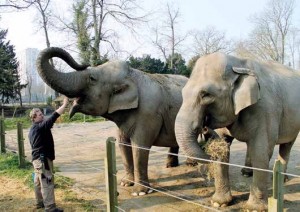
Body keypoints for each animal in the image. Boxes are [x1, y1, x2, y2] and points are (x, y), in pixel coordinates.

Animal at [36, 46, 189, 195]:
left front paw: (140, 192)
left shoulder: (149, 114)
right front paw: (125, 183)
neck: (133, 75)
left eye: (92, 78)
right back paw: (171, 165)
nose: (84, 64)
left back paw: (190, 164)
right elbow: (122, 144)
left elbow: (139, 147)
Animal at [173, 52, 298, 211]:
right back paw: (247, 173)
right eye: (183, 93)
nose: (205, 128)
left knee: (286, 145)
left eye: (206, 95)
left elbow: (261, 152)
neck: (238, 64)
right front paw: (219, 203)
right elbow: (224, 150)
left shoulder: (266, 109)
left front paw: (253, 208)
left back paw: (283, 178)